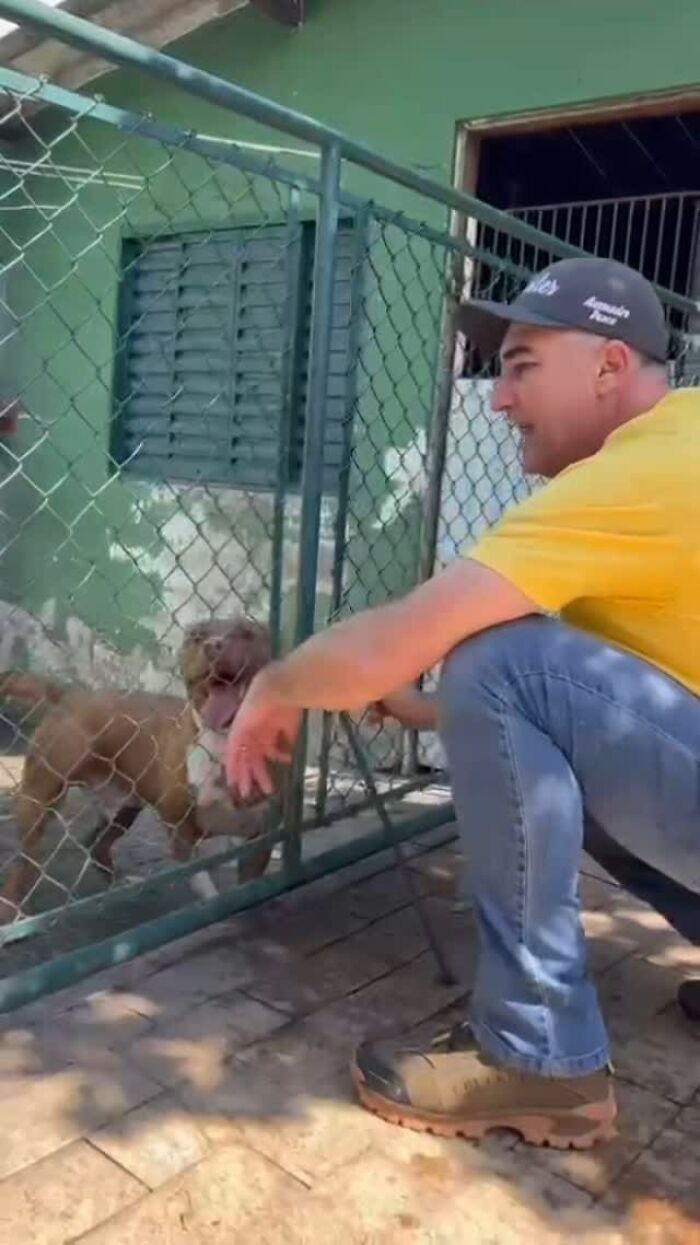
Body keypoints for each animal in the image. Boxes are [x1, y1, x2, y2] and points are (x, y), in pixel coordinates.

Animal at [0, 617, 277, 921]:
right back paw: (12, 910)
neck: (223, 745)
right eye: (195, 636)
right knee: (23, 862)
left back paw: (118, 881)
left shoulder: (260, 836)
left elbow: (247, 883)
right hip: (38, 799)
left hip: (125, 806)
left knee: (96, 843)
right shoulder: (181, 834)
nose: (213, 646)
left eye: (246, 632)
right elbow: (207, 887)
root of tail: (69, 695)